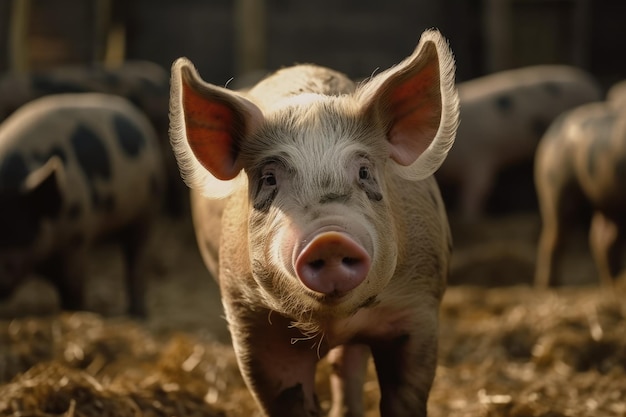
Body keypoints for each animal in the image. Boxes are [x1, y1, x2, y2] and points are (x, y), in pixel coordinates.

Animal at [0, 93, 165, 316]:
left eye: (17, 226)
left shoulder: (76, 237)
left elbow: (73, 289)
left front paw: (76, 311)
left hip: (146, 211)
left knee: (136, 259)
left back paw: (138, 314)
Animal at [168, 30, 456, 416]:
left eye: (364, 172)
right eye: (269, 179)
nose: (329, 238)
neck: (330, 322)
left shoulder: (419, 308)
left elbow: (405, 395)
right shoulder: (251, 320)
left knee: (347, 363)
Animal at [532, 100, 624, 286]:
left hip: (608, 200)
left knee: (602, 241)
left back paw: (613, 283)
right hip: (555, 187)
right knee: (554, 238)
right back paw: (549, 286)